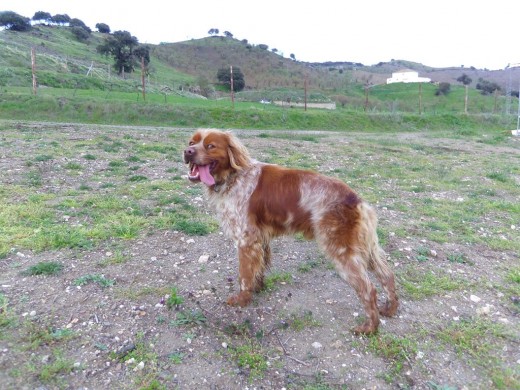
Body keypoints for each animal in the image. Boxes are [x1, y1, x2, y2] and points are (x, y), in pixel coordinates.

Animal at [183, 129, 398, 334]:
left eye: (210, 146)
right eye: (191, 142)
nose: (187, 152)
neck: (234, 177)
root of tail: (357, 200)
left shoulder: (246, 240)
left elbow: (244, 276)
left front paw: (242, 300)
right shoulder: (260, 240)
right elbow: (257, 271)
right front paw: (258, 289)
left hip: (341, 251)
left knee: (368, 289)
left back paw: (369, 328)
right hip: (366, 249)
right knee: (387, 276)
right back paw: (390, 309)